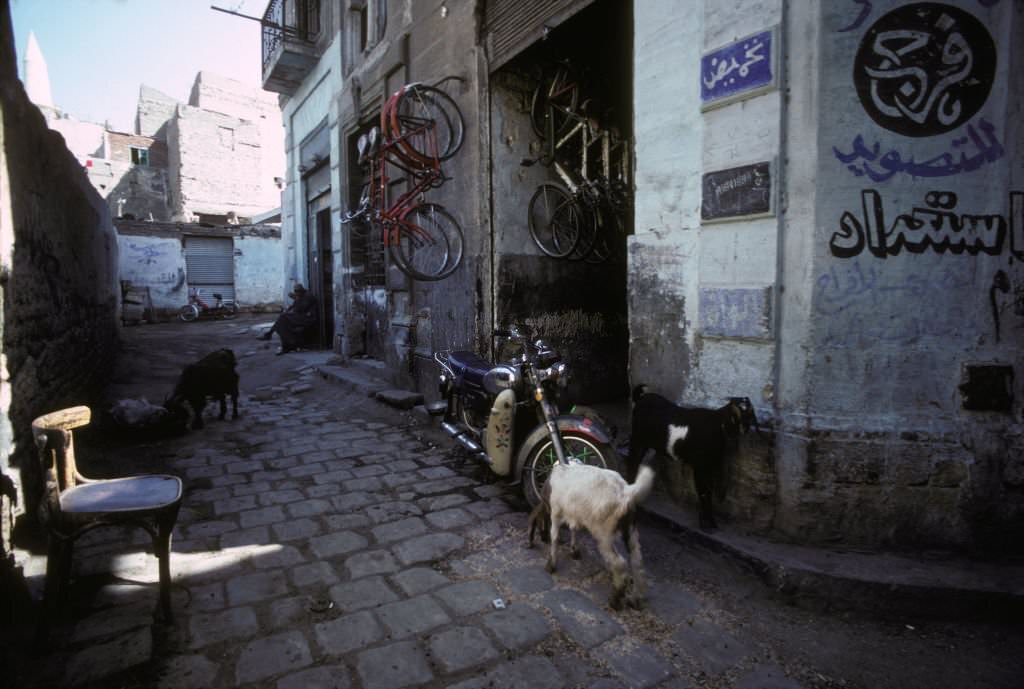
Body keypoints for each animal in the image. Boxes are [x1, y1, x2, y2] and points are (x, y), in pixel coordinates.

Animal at [528, 456, 655, 606]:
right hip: (630, 530)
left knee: (619, 564)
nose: (542, 538)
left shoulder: (556, 513)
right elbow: (573, 530)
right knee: (637, 562)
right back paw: (635, 598)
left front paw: (551, 565)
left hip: (604, 533)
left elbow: (555, 537)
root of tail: (626, 492)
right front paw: (574, 551)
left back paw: (615, 599)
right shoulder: (574, 513)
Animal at [618, 384, 757, 528]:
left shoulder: (711, 465)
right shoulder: (700, 467)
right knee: (632, 464)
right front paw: (706, 524)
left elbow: (709, 492)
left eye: (750, 413)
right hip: (637, 440)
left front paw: (710, 522)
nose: (745, 428)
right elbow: (703, 492)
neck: (717, 425)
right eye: (736, 414)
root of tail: (642, 398)